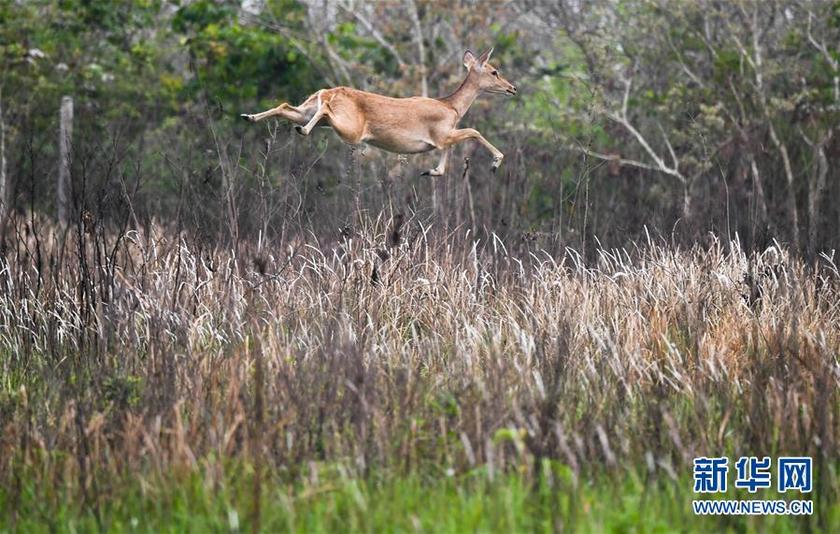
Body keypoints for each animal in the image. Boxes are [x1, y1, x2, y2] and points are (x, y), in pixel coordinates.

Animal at [240, 47, 516, 175]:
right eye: (495, 71)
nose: (512, 88)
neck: (452, 107)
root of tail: (328, 92)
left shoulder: (442, 139)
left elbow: (446, 160)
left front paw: (431, 172)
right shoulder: (442, 133)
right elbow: (474, 131)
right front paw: (496, 162)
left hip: (308, 109)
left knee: (286, 106)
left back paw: (249, 116)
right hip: (350, 128)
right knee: (324, 109)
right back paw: (302, 130)